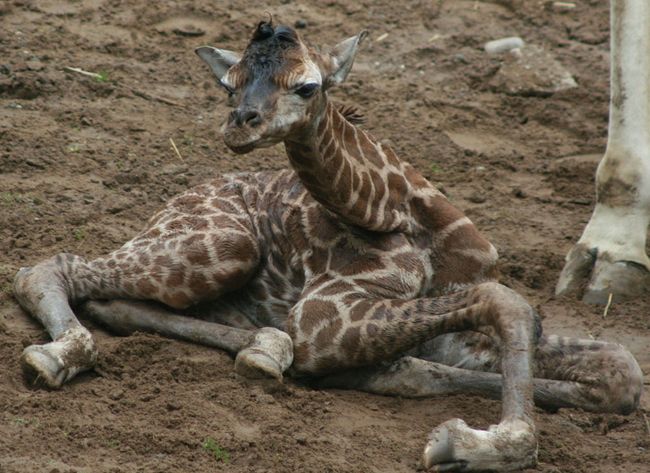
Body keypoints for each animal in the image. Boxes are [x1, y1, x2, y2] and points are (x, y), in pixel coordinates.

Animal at [12, 20, 640, 470]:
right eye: (228, 84)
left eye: (307, 85)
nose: (239, 125)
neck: (396, 209)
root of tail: (172, 202)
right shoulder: (324, 317)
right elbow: (505, 306)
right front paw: (475, 443)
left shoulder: (457, 338)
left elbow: (621, 370)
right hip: (225, 243)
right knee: (49, 269)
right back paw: (61, 356)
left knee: (115, 299)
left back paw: (265, 346)